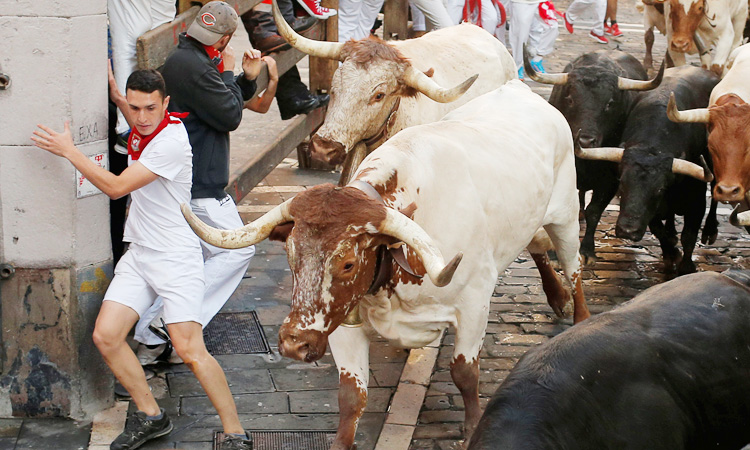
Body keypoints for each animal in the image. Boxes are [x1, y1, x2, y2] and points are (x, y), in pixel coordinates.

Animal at [181, 81, 588, 450]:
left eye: (347, 264)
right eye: (292, 255)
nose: (294, 343)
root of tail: (520, 89)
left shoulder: (474, 305)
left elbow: (464, 372)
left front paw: (472, 427)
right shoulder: (341, 321)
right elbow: (351, 396)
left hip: (567, 216)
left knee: (574, 266)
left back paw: (579, 318)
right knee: (537, 245)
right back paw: (555, 296)